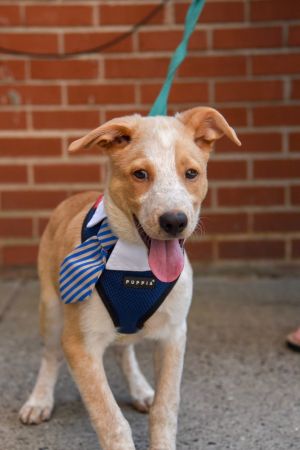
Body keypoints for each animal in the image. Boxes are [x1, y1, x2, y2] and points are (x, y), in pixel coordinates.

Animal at [18, 107, 240, 448]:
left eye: (191, 173)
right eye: (140, 174)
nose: (175, 221)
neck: (136, 266)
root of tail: (74, 197)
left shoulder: (174, 334)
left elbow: (165, 408)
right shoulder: (79, 344)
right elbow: (111, 420)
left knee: (124, 350)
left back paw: (140, 389)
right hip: (51, 308)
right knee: (50, 355)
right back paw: (39, 400)